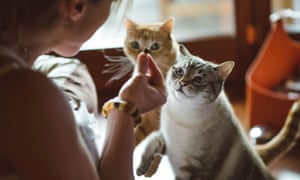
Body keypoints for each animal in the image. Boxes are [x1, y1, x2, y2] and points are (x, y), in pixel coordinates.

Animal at [136, 44, 274, 179]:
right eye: (180, 71)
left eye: (199, 79)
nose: (182, 83)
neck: (182, 110)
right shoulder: (166, 139)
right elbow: (151, 143)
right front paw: (141, 169)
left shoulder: (194, 169)